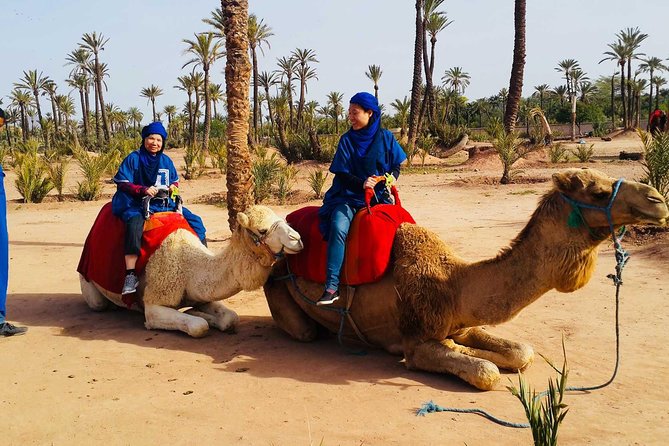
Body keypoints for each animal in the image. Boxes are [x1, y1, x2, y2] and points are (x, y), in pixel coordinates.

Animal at [80, 206, 303, 337]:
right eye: (262, 230)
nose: (297, 239)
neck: (189, 267)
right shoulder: (154, 302)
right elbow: (198, 327)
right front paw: (200, 318)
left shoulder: (200, 293)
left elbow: (230, 318)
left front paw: (200, 313)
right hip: (89, 281)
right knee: (98, 303)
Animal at [264, 168, 668, 390]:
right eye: (598, 192)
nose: (657, 199)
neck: (453, 284)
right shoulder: (418, 341)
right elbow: (486, 371)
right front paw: (473, 359)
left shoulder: (463, 323)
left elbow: (522, 352)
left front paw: (490, 354)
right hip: (279, 290)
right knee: (305, 330)